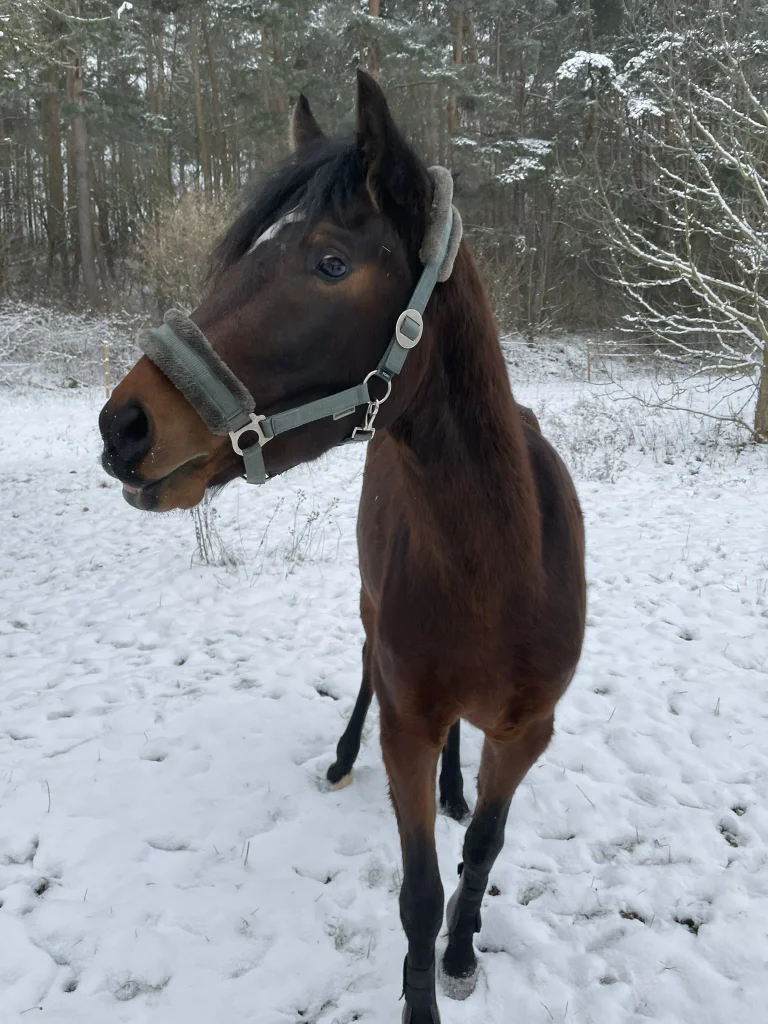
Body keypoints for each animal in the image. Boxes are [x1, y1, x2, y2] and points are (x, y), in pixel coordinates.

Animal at [98, 70, 586, 1024]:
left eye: (330, 262)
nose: (124, 425)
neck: (501, 572)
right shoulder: (408, 724)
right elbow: (419, 893)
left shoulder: (527, 734)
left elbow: (482, 852)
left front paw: (463, 952)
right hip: (369, 612)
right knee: (363, 668)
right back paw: (341, 757)